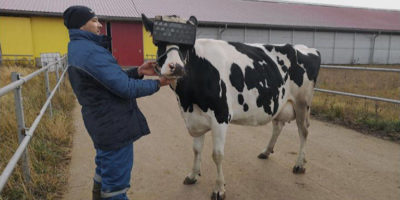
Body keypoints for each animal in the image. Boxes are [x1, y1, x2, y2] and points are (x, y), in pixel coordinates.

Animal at [141, 14, 322, 200]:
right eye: (158, 42)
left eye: (187, 45)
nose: (176, 67)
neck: (187, 100)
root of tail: (307, 48)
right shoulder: (195, 118)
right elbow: (196, 149)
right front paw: (192, 175)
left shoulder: (220, 116)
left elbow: (217, 155)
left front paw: (219, 188)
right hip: (280, 103)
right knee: (278, 126)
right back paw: (266, 151)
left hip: (302, 103)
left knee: (303, 131)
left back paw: (299, 164)